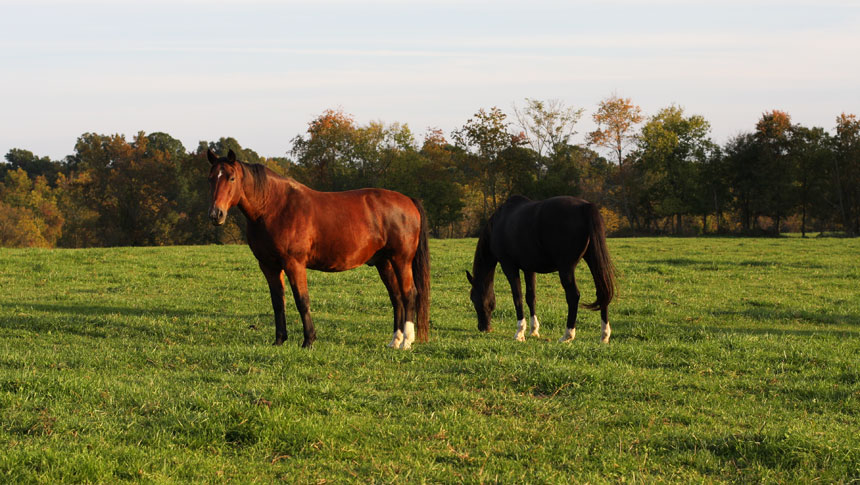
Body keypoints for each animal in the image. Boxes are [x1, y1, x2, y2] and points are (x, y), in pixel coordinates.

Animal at [208, 148, 430, 348]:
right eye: (211, 179)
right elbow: (278, 302)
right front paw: (279, 340)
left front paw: (309, 341)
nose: (216, 214)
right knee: (397, 297)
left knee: (409, 294)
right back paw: (395, 341)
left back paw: (407, 342)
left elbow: (302, 300)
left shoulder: (294, 264)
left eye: (231, 178)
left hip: (401, 260)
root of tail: (409, 201)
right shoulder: (269, 266)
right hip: (384, 263)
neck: (274, 207)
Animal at [466, 195, 616, 342]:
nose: (483, 328)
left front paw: (519, 333)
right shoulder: (529, 269)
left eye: (473, 298)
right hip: (593, 261)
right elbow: (530, 297)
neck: (499, 222)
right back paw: (604, 335)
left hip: (566, 268)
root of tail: (586, 206)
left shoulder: (509, 266)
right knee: (602, 292)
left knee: (573, 295)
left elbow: (517, 297)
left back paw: (567, 335)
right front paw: (533, 331)